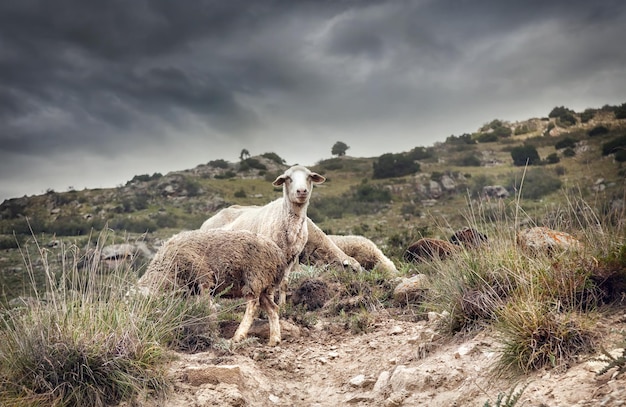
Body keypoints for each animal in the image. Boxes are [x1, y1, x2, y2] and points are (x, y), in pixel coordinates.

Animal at [138, 230, 286, 348]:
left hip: (255, 277)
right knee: (273, 308)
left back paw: (238, 336)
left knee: (253, 306)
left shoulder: (203, 278)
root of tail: (279, 255)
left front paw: (211, 331)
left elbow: (208, 308)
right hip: (265, 285)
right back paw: (274, 340)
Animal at [201, 166, 326, 306]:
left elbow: (284, 283)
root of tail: (209, 220)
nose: (302, 191)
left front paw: (282, 305)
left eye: (309, 177)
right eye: (288, 178)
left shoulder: (291, 258)